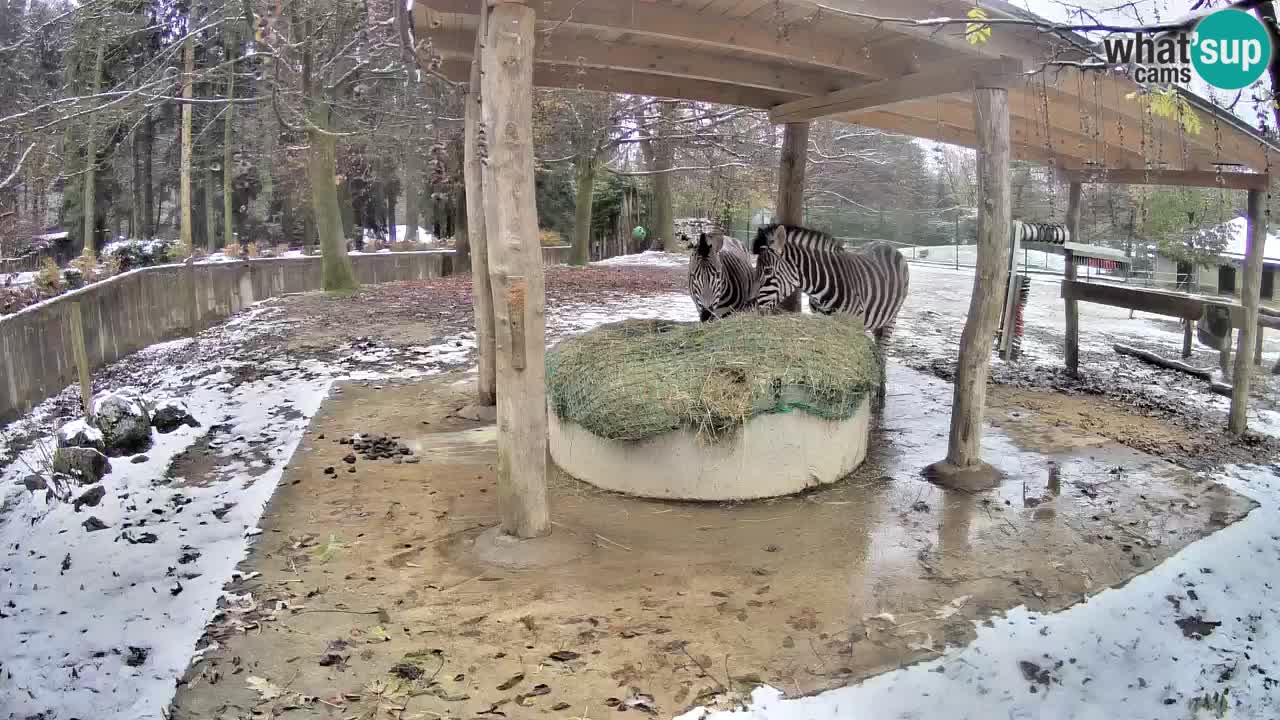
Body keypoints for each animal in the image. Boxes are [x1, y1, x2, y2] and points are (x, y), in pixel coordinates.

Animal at [747, 221, 911, 407]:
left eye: (768, 271)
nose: (750, 305)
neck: (822, 287)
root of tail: (887, 245)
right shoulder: (822, 321)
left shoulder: (850, 325)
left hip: (891, 318)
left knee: (883, 352)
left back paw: (881, 393)